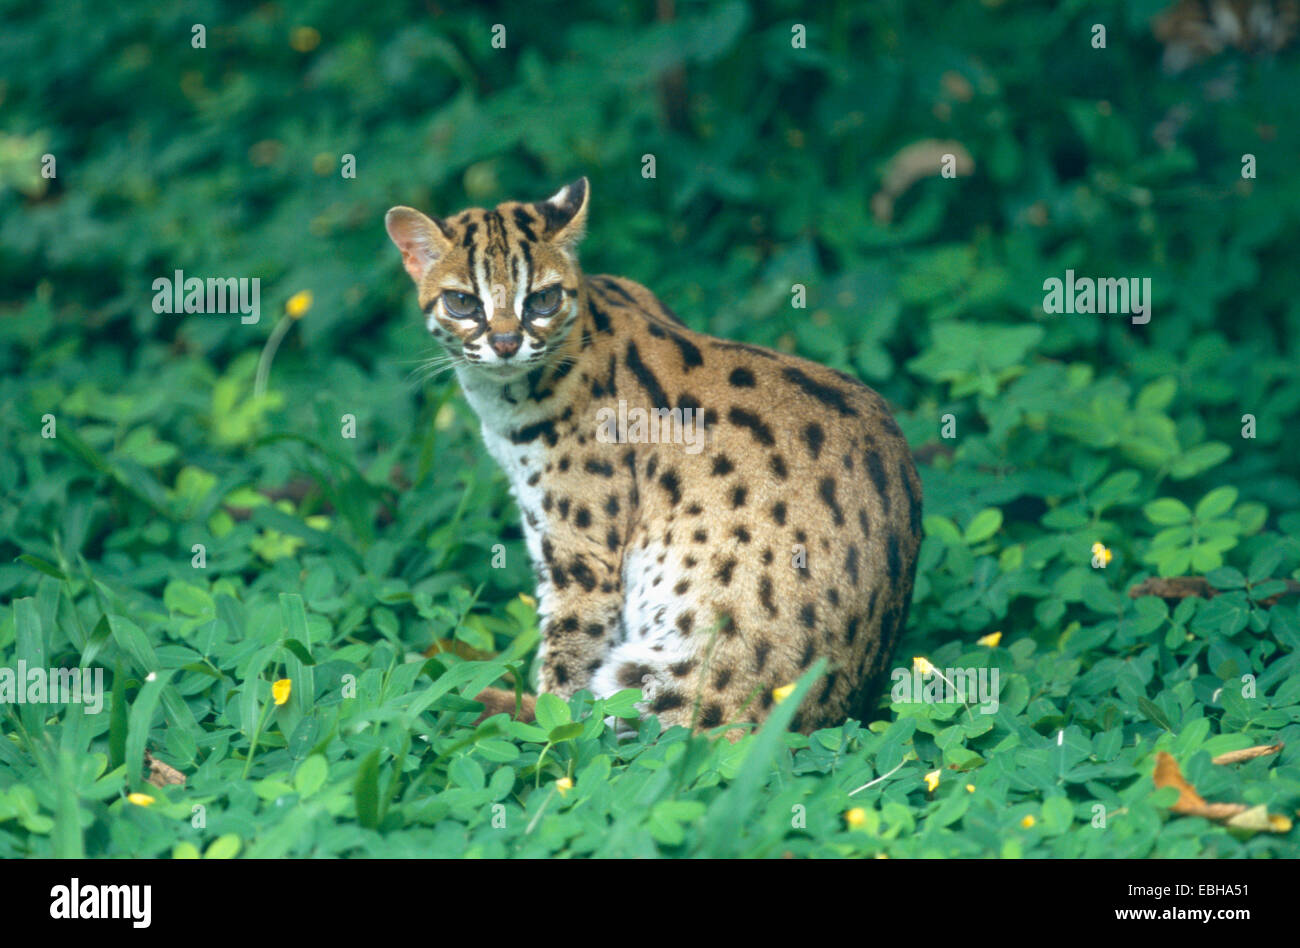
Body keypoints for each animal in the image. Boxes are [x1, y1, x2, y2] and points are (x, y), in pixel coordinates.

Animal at [384, 179, 925, 738]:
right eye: (462, 303)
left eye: (542, 299)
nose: (507, 343)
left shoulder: (579, 554)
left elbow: (568, 673)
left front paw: (549, 724)